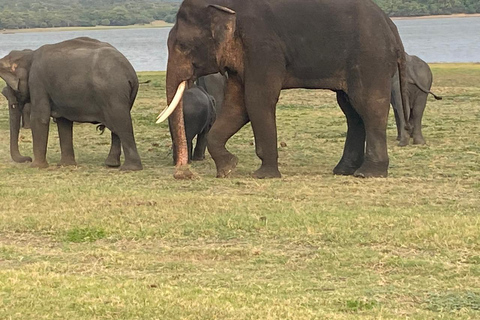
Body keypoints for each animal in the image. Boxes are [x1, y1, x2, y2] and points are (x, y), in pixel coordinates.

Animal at [0, 37, 142, 170]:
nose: (28, 158)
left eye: (10, 88)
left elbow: (40, 118)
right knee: (116, 127)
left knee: (121, 122)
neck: (29, 54)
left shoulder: (37, 81)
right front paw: (66, 164)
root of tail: (130, 73)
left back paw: (130, 168)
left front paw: (36, 166)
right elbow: (64, 121)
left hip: (112, 93)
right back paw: (112, 164)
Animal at [156, 0, 410, 180]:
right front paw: (228, 169)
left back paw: (368, 173)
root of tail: (392, 27)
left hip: (371, 58)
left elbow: (257, 100)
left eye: (183, 46)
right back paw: (343, 170)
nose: (182, 173)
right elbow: (238, 106)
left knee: (368, 106)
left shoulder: (262, 46)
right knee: (351, 111)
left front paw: (264, 175)